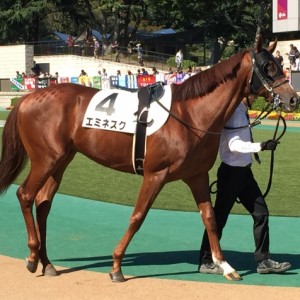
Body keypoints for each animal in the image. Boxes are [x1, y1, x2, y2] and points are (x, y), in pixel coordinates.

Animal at [0, 36, 298, 282]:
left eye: (280, 64)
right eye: (268, 68)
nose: (293, 99)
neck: (189, 115)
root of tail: (26, 99)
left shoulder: (197, 176)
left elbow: (210, 217)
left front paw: (225, 266)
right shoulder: (155, 174)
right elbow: (138, 216)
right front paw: (116, 265)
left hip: (61, 161)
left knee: (43, 203)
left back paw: (47, 263)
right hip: (45, 160)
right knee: (25, 195)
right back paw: (32, 257)